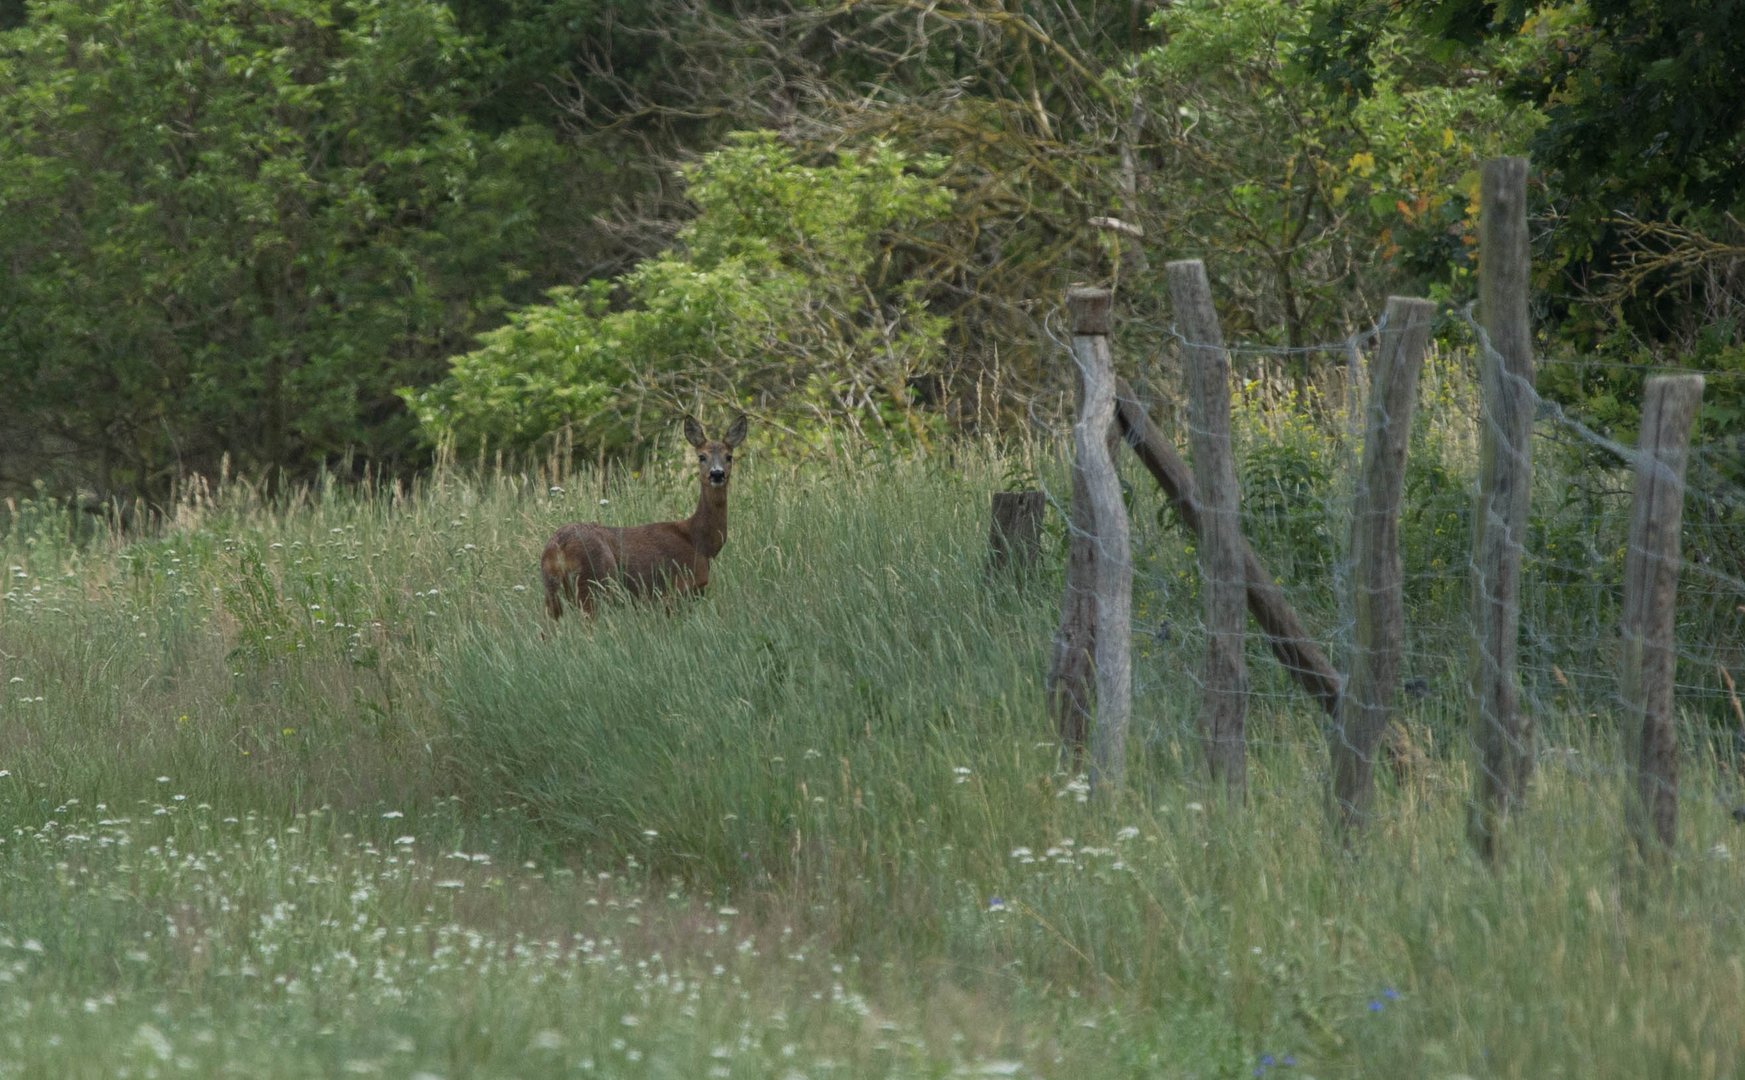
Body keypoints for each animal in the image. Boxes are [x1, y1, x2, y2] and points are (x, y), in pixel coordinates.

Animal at [537, 413, 743, 621]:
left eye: (729, 456)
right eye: (702, 456)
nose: (717, 474)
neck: (700, 543)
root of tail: (559, 546)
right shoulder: (675, 592)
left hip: (551, 591)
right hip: (594, 583)